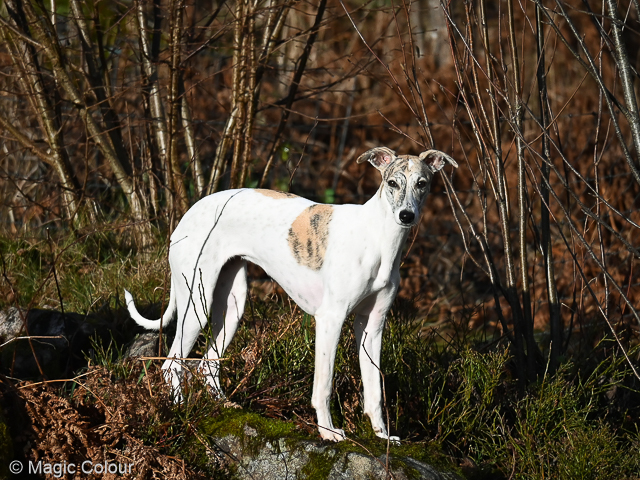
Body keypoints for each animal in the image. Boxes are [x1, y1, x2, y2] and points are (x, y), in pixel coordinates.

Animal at [125, 147, 456, 442]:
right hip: (197, 301)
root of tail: (189, 212)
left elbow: (374, 390)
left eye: (422, 183)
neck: (378, 237)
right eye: (393, 183)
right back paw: (181, 412)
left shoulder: (372, 326)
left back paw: (224, 407)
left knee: (208, 363)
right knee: (172, 365)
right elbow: (323, 386)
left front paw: (382, 436)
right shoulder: (330, 320)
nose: (406, 215)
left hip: (232, 305)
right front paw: (328, 432)